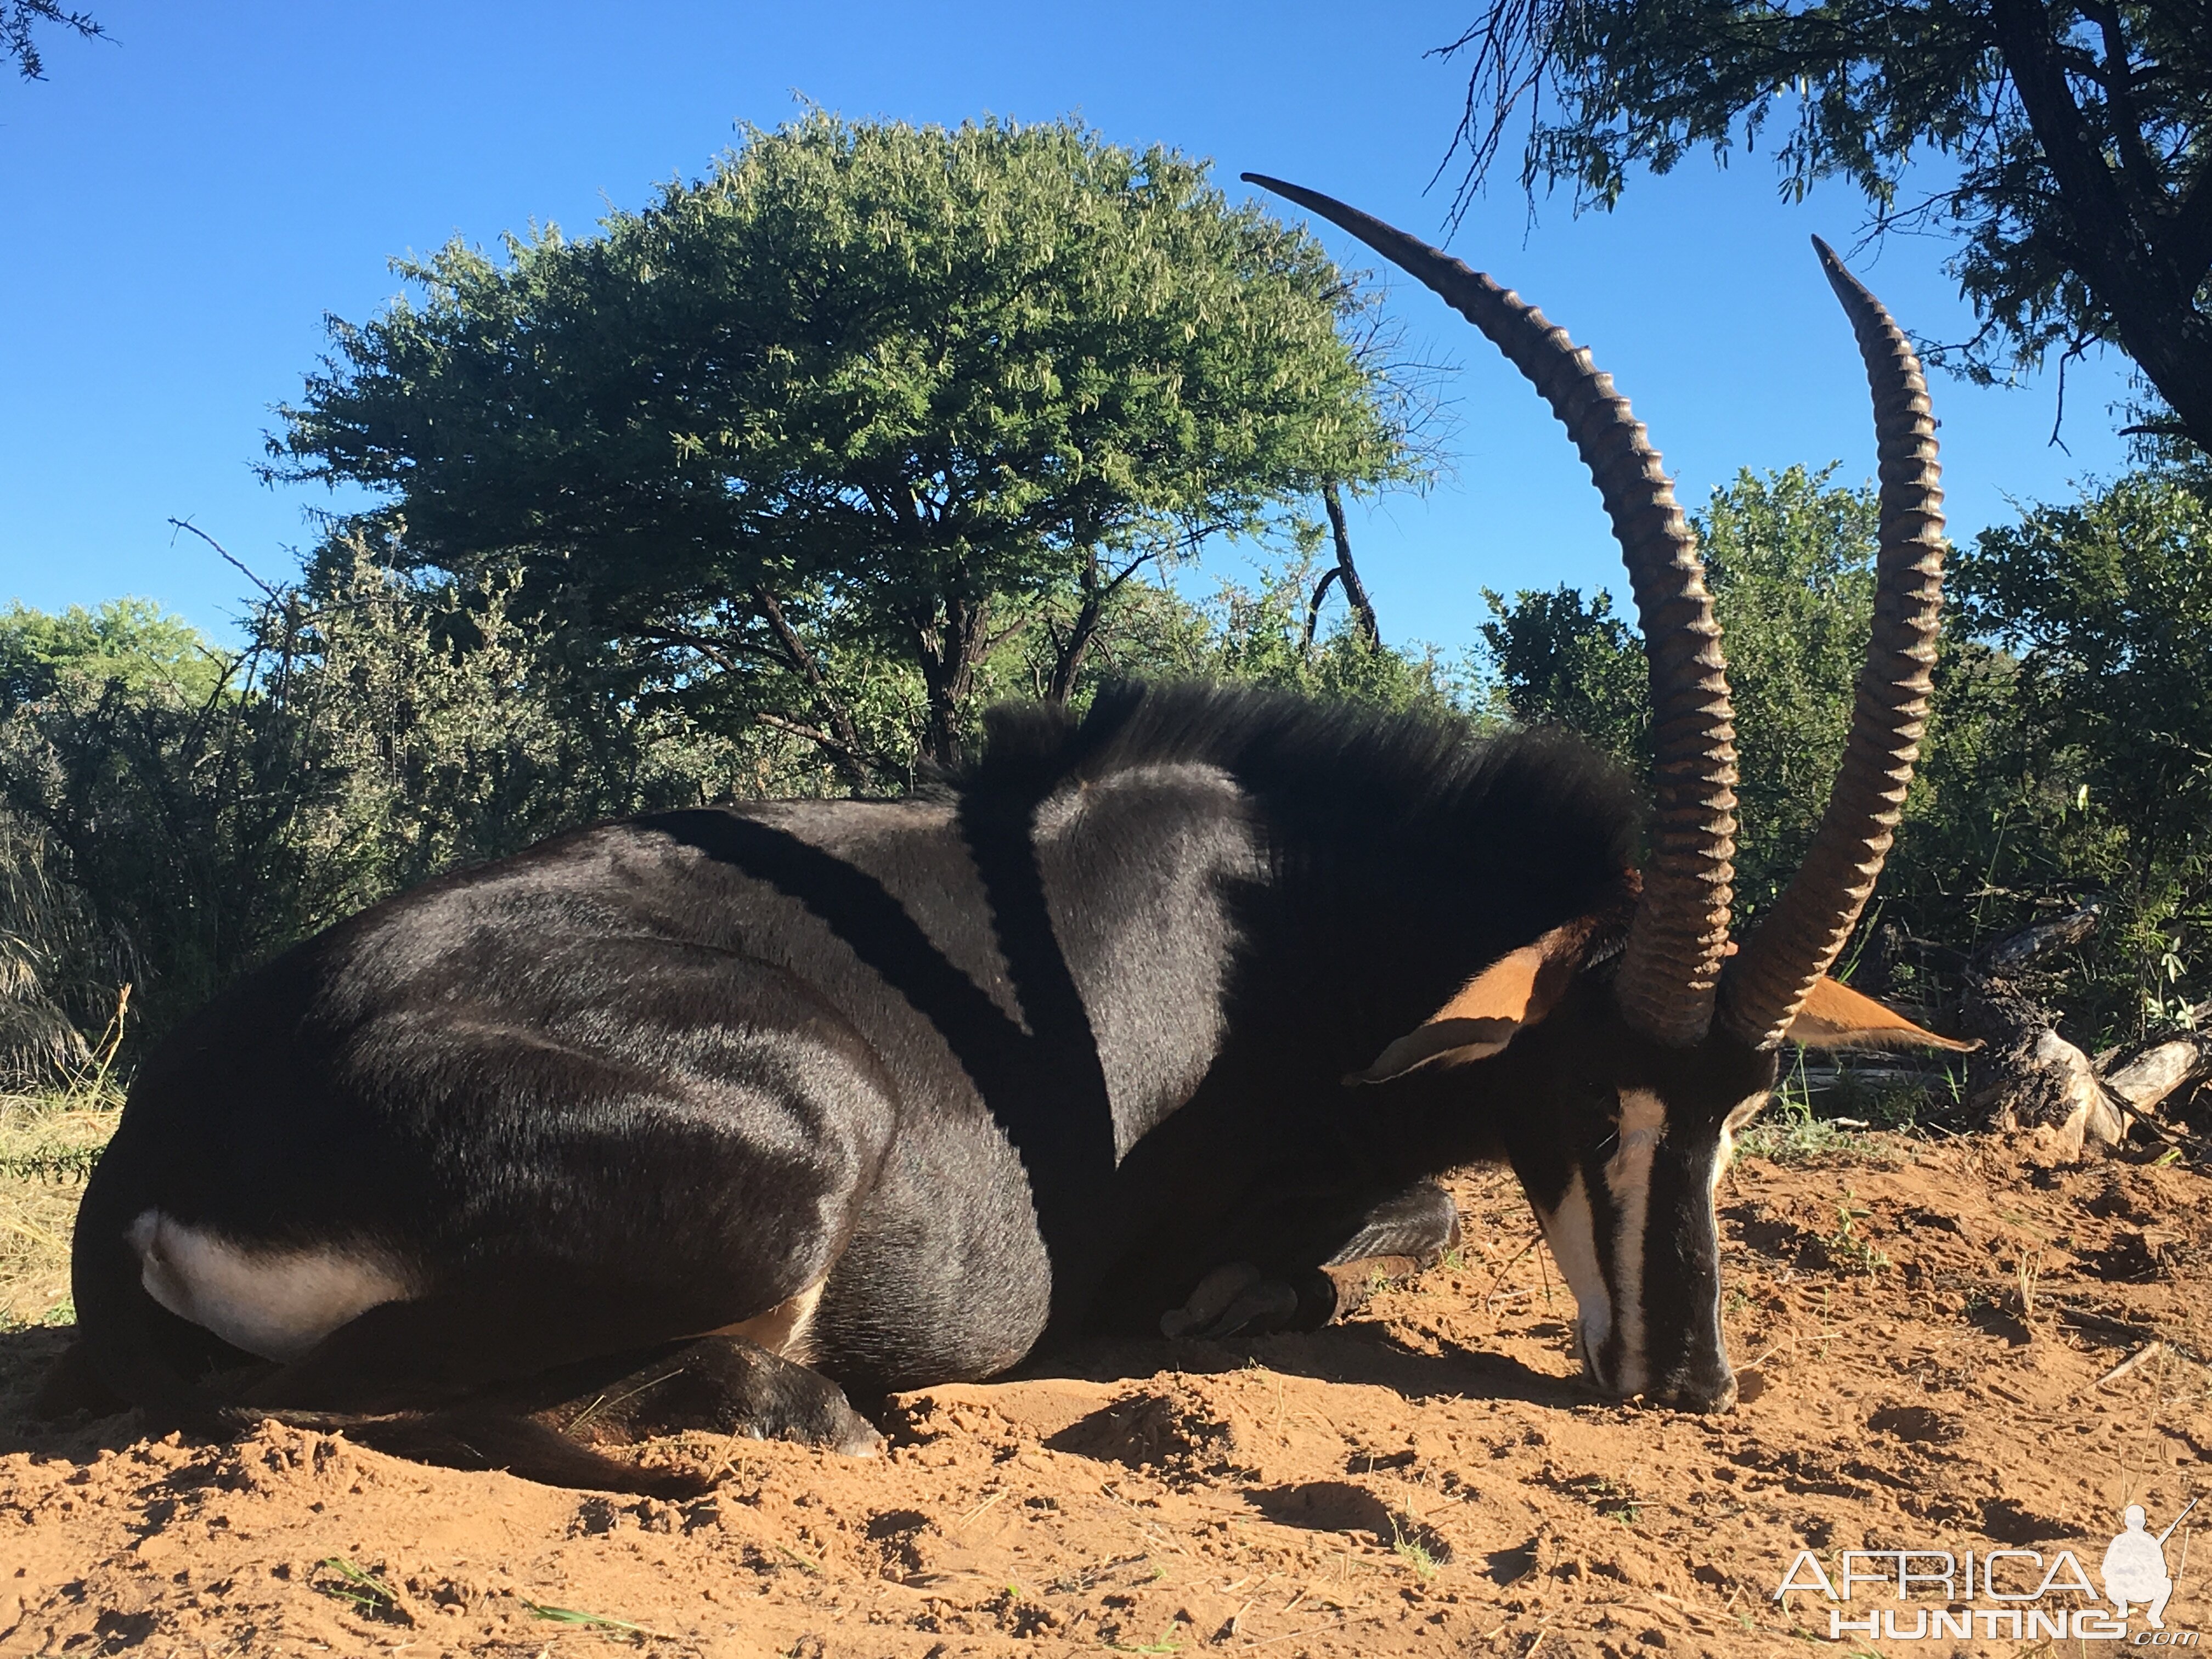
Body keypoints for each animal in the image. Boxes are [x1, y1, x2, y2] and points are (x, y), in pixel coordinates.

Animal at [43, 181, 1964, 1495]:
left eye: (1748, 1103)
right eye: (1588, 1090)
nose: (1690, 1380)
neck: (1275, 922)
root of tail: (151, 1162)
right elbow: (1359, 1244)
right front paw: (1240, 1303)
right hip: (806, 1136)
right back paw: (828, 1405)